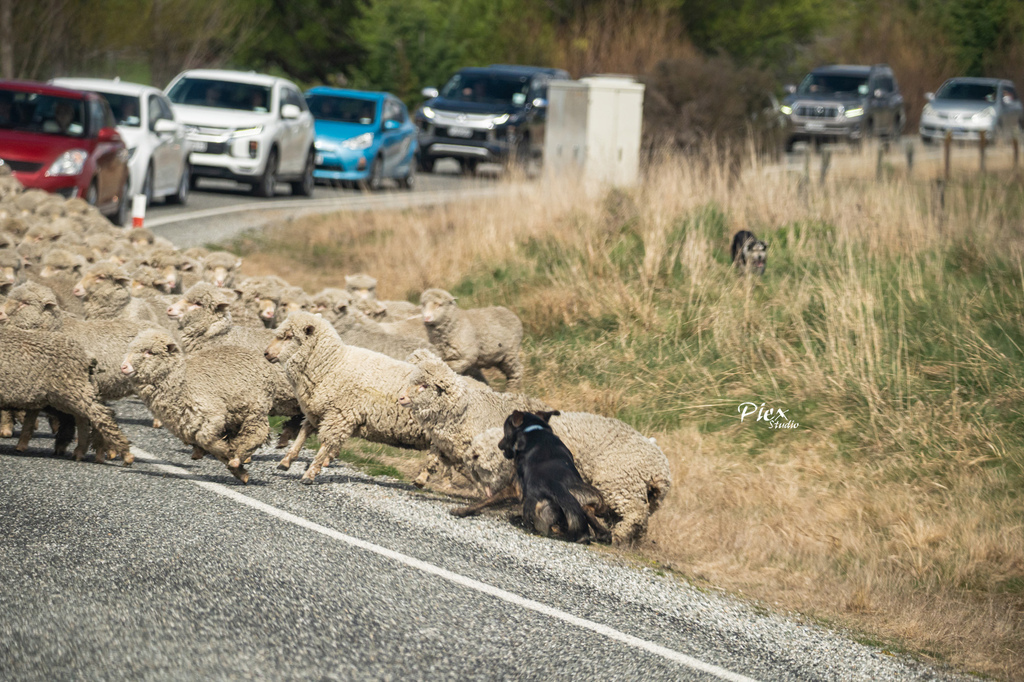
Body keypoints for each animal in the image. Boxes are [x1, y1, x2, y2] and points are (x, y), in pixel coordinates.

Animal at [0, 323, 132, 462]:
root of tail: (86, 355)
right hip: (66, 394)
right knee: (83, 419)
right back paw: (80, 451)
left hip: (71, 389)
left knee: (101, 415)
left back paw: (124, 454)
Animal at [120, 327, 272, 481]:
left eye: (150, 352)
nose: (124, 367)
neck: (182, 381)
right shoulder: (183, 425)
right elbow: (202, 443)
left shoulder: (211, 415)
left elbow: (206, 440)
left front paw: (228, 453)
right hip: (237, 414)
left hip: (255, 408)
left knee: (257, 433)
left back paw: (237, 459)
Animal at [264, 311, 428, 481]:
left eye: (289, 336)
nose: (266, 353)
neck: (332, 364)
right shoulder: (319, 410)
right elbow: (304, 432)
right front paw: (286, 461)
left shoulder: (339, 415)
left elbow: (326, 442)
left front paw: (310, 473)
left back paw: (422, 479)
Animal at [395, 346, 552, 489]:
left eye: (424, 385)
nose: (401, 398)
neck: (464, 410)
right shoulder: (443, 444)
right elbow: (433, 459)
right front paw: (420, 479)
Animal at [458, 409, 667, 540]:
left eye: (505, 431)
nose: (500, 446)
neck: (535, 432)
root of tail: (659, 473)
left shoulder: (515, 486)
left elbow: (489, 500)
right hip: (636, 498)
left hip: (621, 487)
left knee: (634, 516)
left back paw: (618, 536)